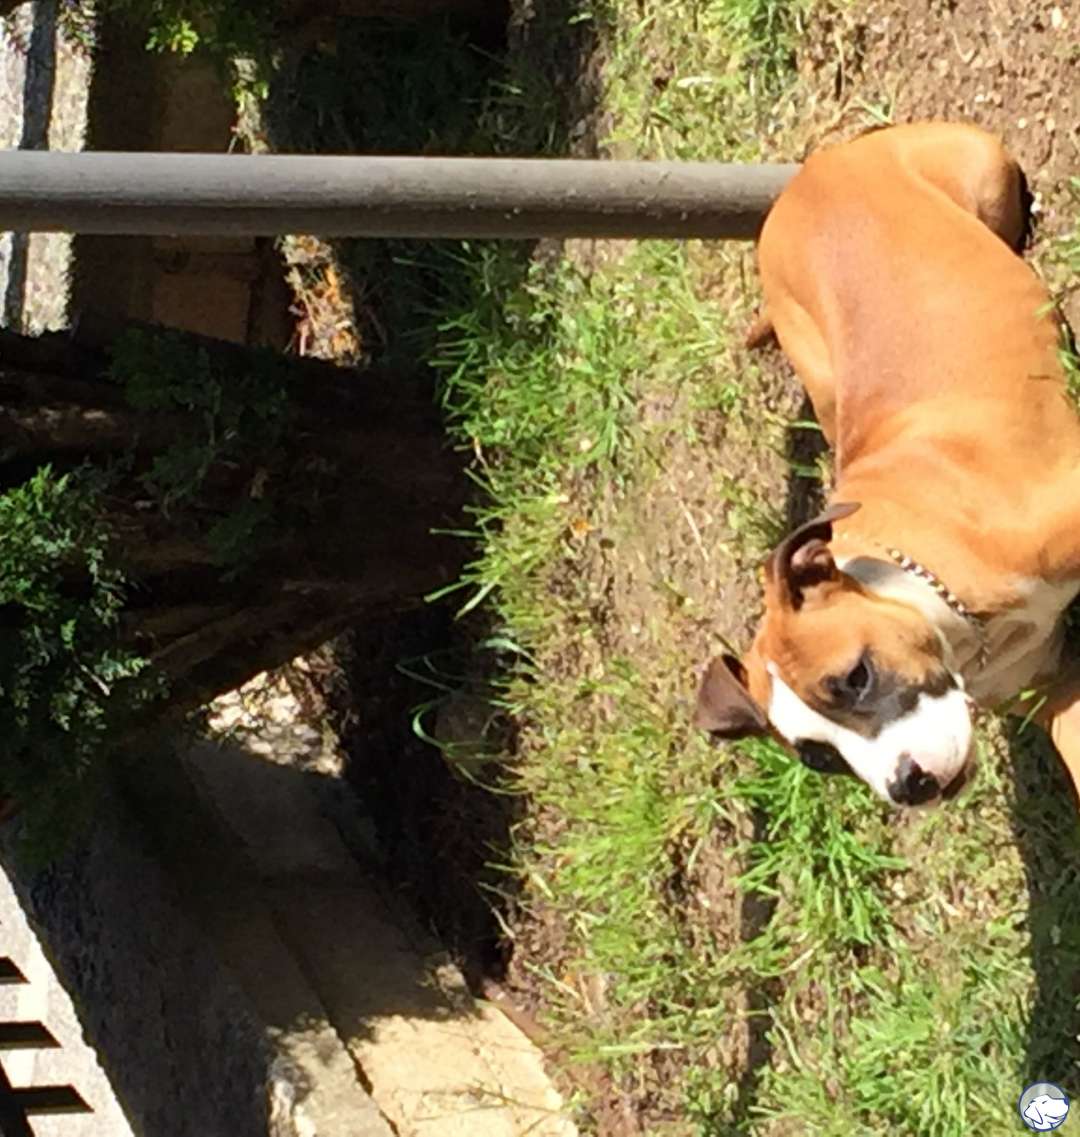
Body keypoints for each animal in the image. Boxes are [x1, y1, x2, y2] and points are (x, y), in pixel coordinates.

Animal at [695, 122, 1080, 808]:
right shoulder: (1054, 690)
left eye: (856, 677)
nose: (908, 785)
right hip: (814, 367)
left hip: (983, 174)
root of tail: (803, 176)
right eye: (819, 759)